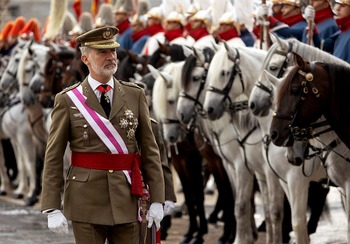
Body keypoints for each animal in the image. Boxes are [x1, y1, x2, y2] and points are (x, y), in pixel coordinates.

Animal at [202, 43, 288, 244]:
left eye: (224, 72)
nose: (209, 109)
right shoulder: (251, 169)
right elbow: (260, 207)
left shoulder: (251, 168)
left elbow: (248, 206)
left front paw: (241, 239)